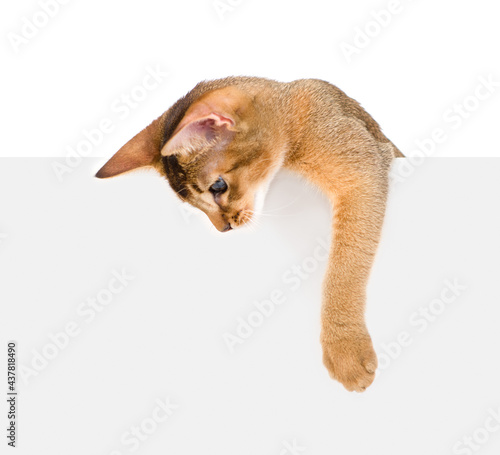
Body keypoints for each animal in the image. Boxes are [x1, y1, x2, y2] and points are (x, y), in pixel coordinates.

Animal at [95, 76, 404, 394]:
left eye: (218, 187)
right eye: (192, 205)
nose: (223, 228)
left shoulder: (364, 170)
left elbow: (345, 266)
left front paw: (345, 347)